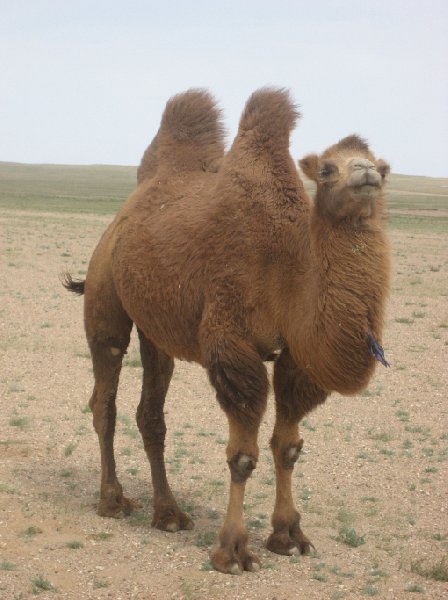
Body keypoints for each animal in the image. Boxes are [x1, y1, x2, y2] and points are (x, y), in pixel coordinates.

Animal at [62, 86, 388, 576]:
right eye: (328, 168)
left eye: (379, 165)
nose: (367, 174)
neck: (288, 266)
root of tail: (124, 214)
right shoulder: (232, 342)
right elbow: (243, 455)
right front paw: (232, 551)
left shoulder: (295, 356)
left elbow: (287, 445)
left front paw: (289, 536)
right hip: (105, 296)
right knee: (105, 397)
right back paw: (113, 501)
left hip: (157, 330)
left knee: (150, 412)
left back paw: (169, 514)